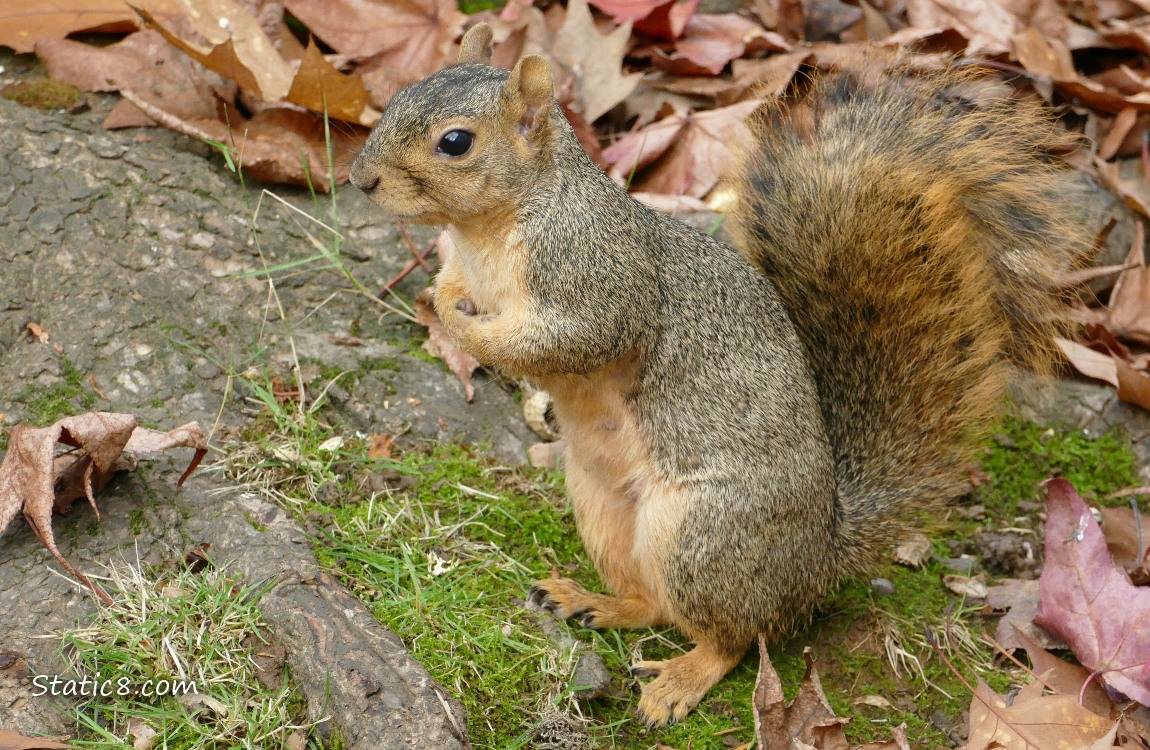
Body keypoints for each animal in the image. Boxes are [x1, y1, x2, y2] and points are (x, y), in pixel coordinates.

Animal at [349, 21, 1085, 726]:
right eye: (402, 94)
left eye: (455, 142)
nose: (360, 180)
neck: (488, 233)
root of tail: (818, 557)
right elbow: (453, 286)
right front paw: (442, 300)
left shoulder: (600, 282)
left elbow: (573, 339)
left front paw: (467, 327)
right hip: (603, 506)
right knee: (655, 604)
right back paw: (597, 603)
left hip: (704, 536)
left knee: (735, 636)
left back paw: (680, 680)